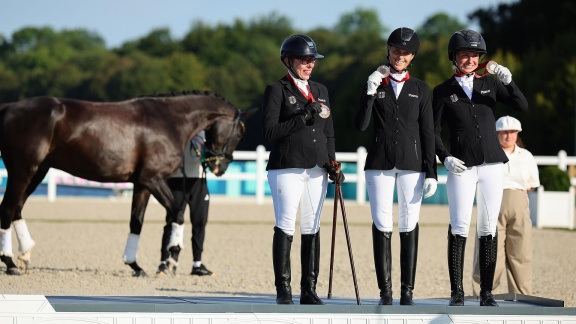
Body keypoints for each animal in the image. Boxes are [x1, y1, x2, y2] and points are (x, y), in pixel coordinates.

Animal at [0, 90, 256, 276]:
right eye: (239, 134)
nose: (220, 167)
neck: (169, 120)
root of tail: (9, 108)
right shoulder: (152, 179)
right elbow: (178, 213)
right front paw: (172, 257)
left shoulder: (141, 185)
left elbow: (137, 222)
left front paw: (135, 265)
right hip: (23, 171)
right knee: (7, 208)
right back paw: (10, 263)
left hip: (37, 172)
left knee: (17, 209)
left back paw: (25, 255)